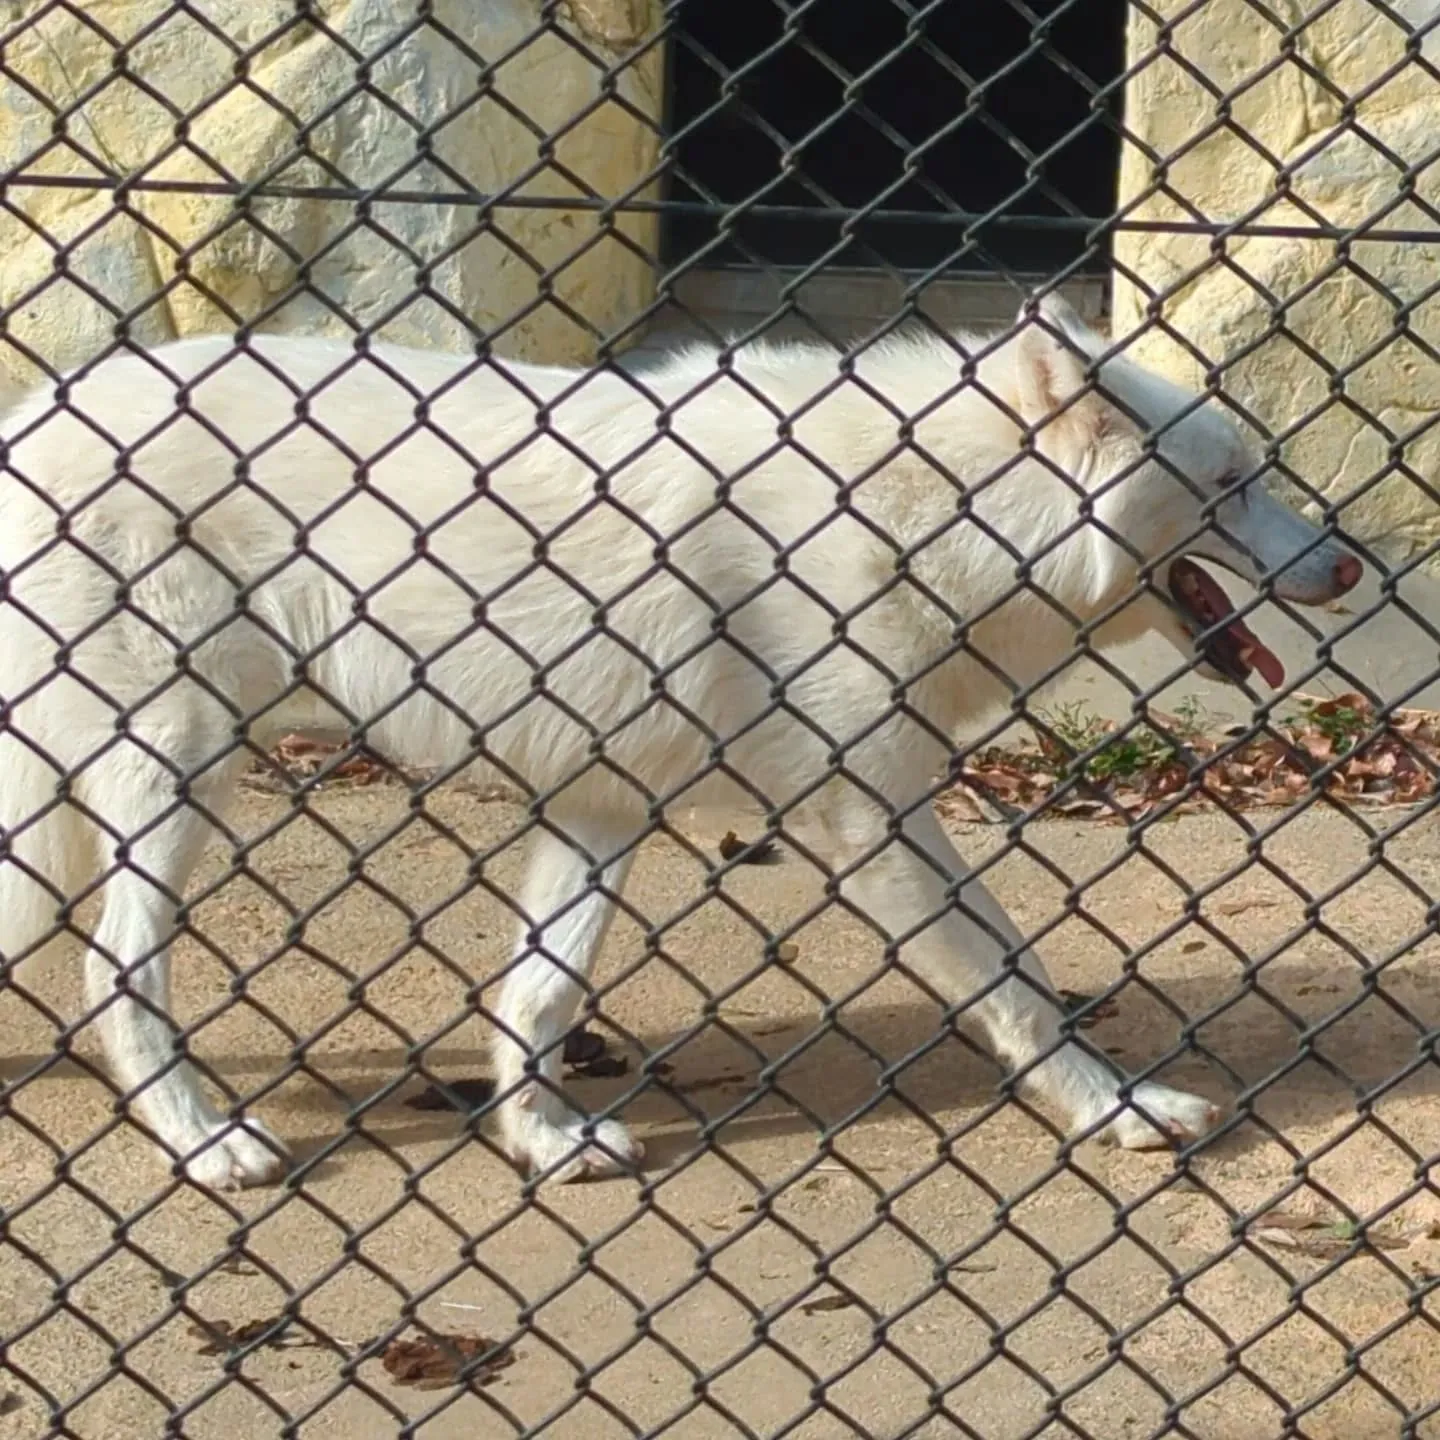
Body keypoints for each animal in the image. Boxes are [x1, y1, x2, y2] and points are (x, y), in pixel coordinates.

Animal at [0, 298, 1359, 1186]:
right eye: (1233, 484)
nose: (1350, 566)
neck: (927, 519)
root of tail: (33, 417)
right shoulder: (873, 824)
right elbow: (1019, 985)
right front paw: (1118, 1110)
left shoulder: (598, 803)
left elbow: (539, 993)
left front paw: (543, 1143)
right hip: (178, 771)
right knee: (112, 971)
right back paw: (206, 1144)